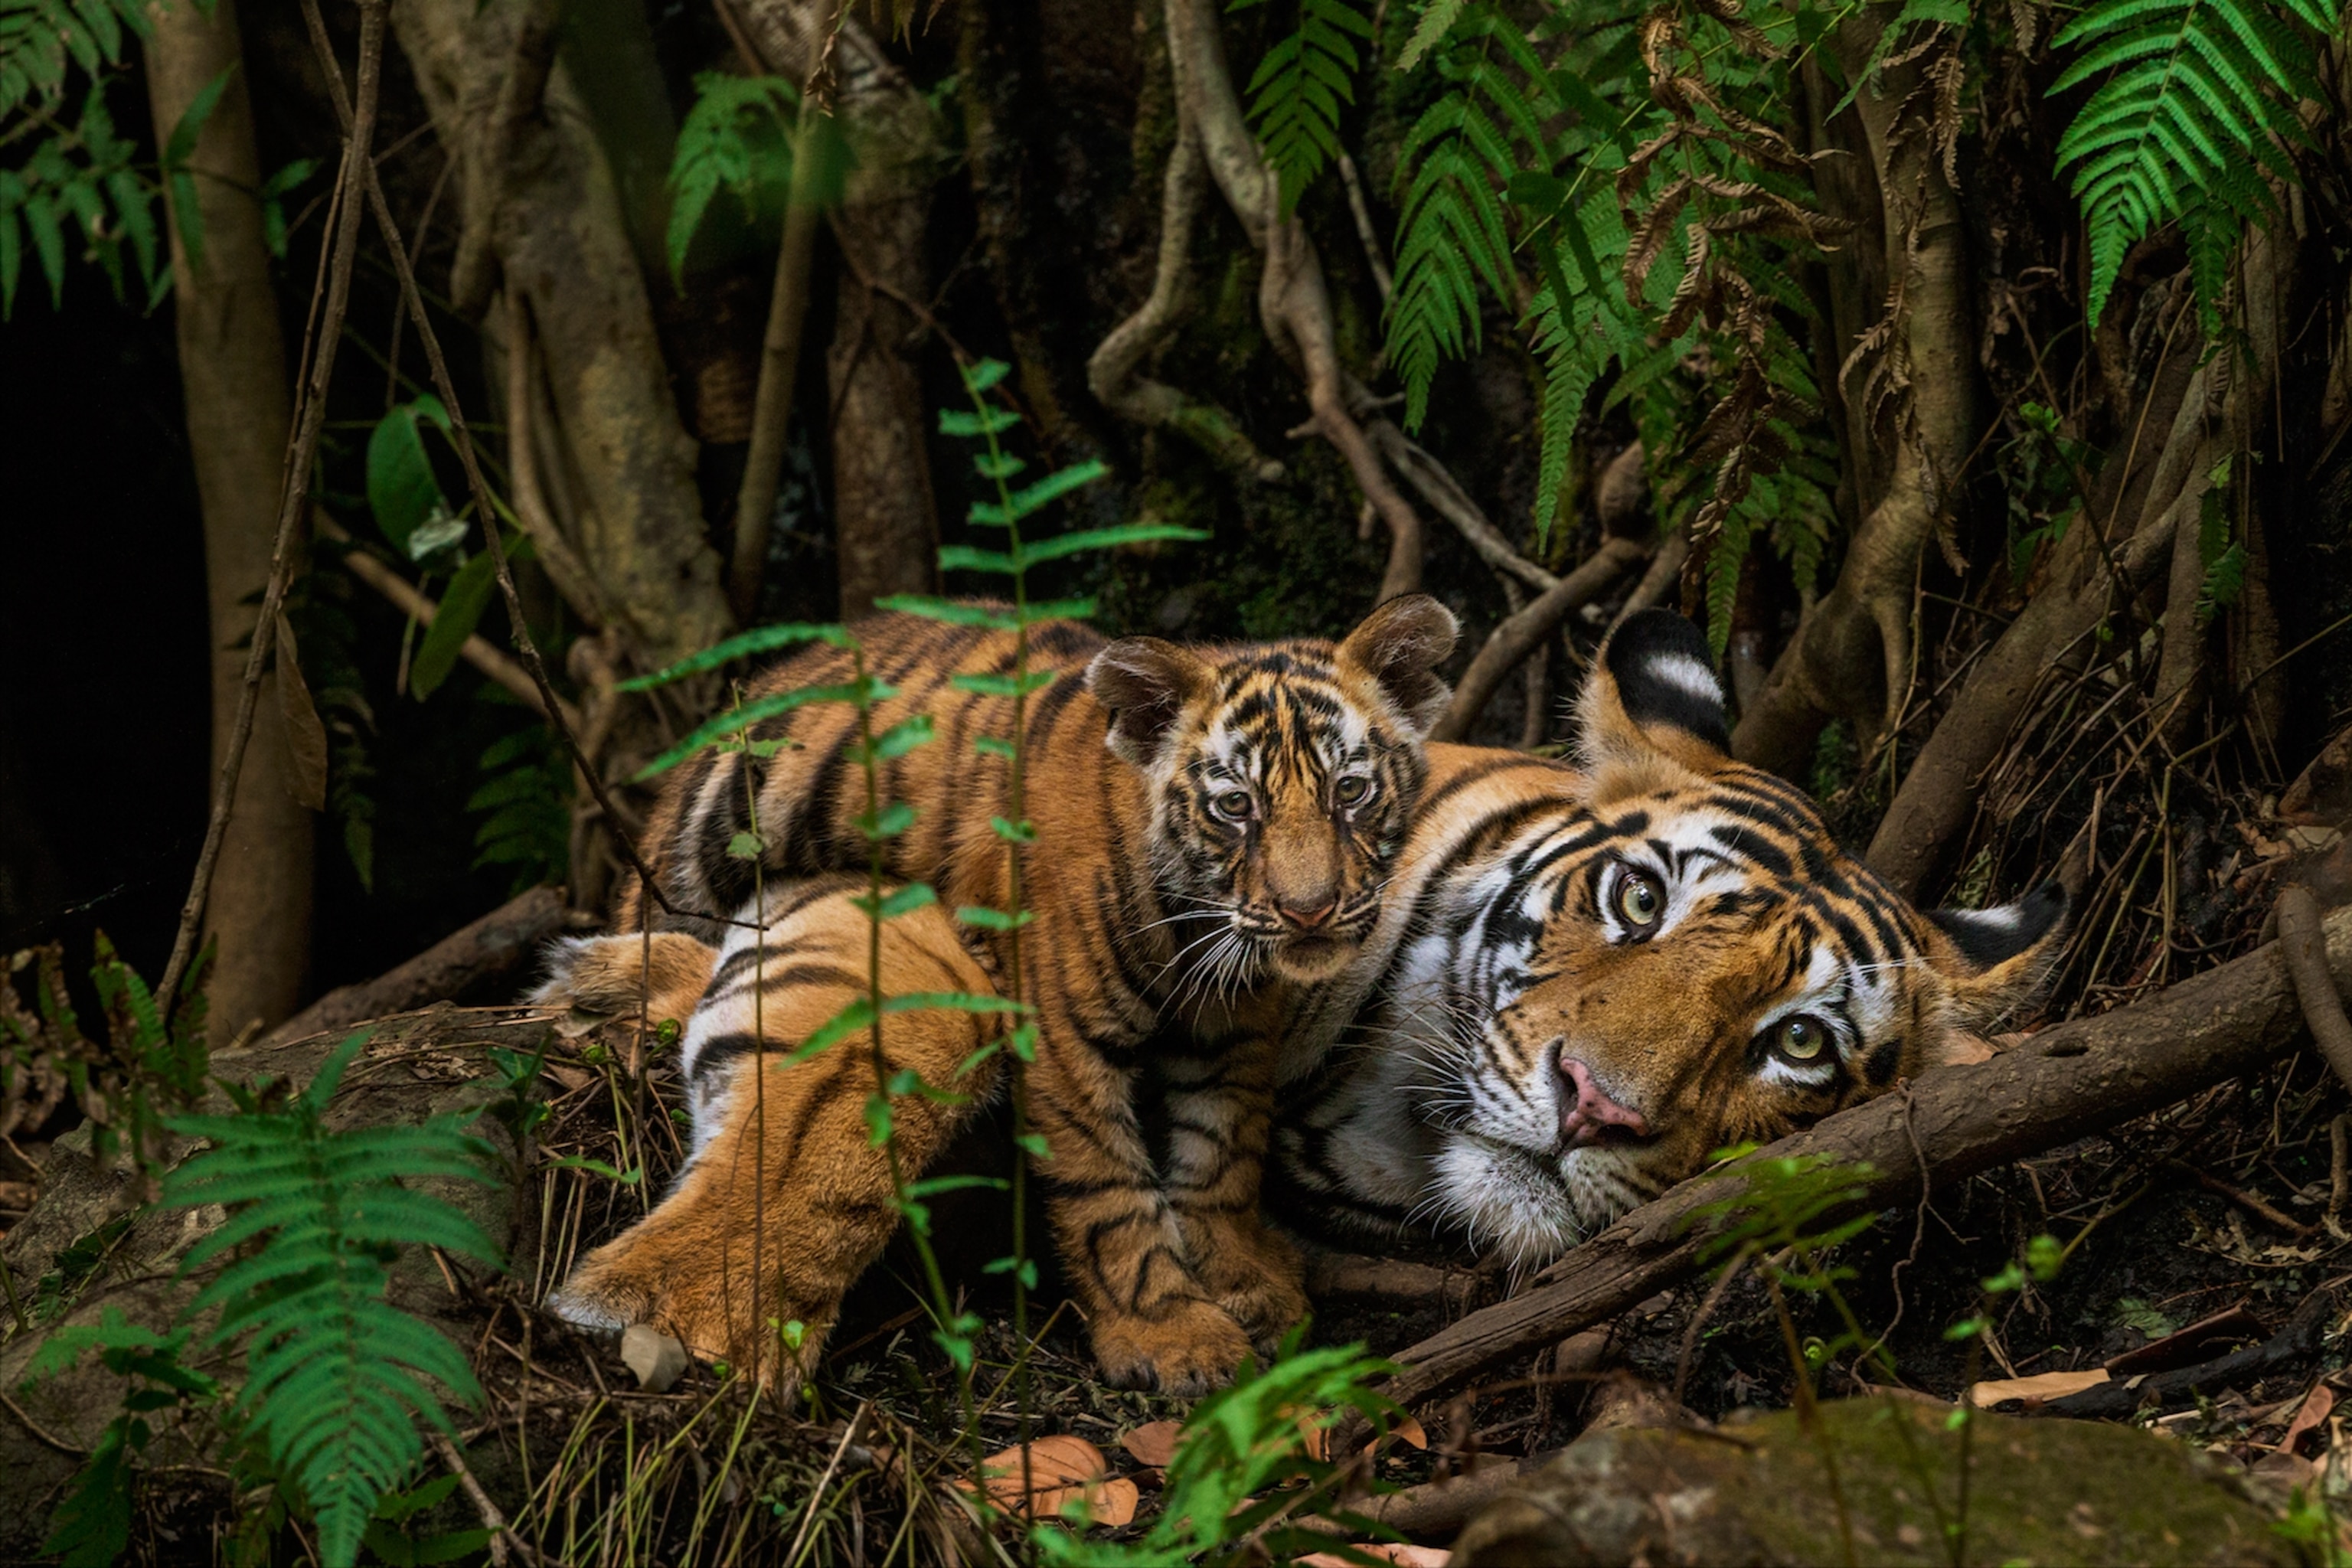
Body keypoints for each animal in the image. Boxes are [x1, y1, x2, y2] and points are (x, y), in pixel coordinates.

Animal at [569, 596, 1461, 1393]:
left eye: (1350, 792)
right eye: (1236, 806)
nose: (1309, 910)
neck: (1200, 935)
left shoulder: (1234, 1031)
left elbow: (1223, 1154)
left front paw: (1245, 1279)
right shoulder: (1066, 1037)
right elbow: (1107, 1189)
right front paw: (1172, 1336)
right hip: (696, 856)